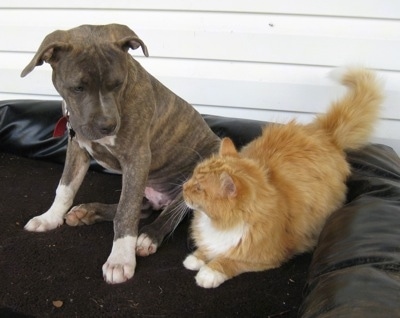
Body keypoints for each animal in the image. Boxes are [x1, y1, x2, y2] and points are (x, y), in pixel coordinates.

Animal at [182, 67, 384, 288]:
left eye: (199, 188)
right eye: (193, 176)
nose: (183, 187)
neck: (219, 224)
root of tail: (324, 133)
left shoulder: (265, 256)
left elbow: (229, 260)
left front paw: (209, 272)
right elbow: (205, 250)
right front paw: (196, 258)